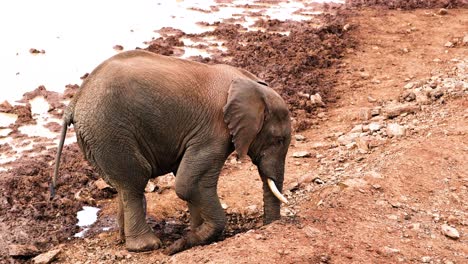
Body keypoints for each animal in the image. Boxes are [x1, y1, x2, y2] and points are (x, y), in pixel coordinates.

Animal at [52, 49, 292, 254]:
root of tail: (74, 101)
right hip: (109, 131)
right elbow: (189, 184)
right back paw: (147, 246)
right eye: (279, 140)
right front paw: (190, 240)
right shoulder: (214, 132)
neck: (250, 84)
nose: (269, 226)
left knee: (124, 185)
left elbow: (188, 180)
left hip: (96, 137)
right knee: (135, 180)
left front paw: (195, 233)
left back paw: (123, 239)